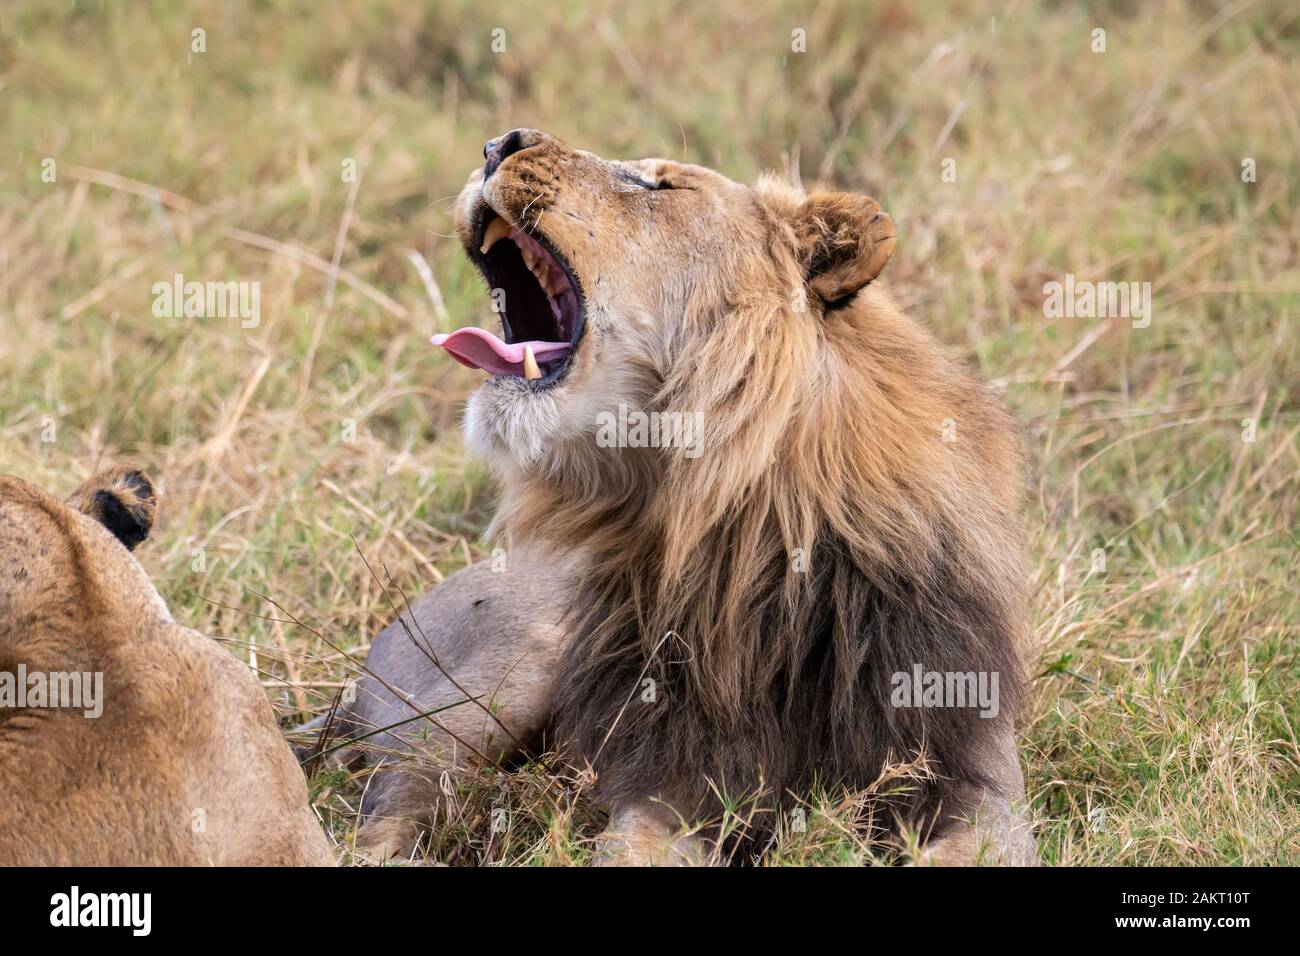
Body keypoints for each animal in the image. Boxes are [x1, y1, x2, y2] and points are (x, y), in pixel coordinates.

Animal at [340, 128, 1036, 865]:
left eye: (661, 186)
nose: (499, 143)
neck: (757, 538)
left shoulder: (975, 782)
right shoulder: (666, 785)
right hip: (490, 689)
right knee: (387, 811)